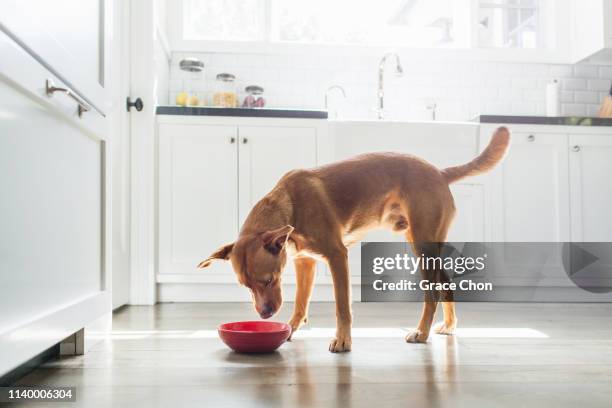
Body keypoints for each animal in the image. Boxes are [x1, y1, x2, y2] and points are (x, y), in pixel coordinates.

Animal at [198, 126, 510, 350]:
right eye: (247, 286)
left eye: (268, 280)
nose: (264, 315)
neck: (290, 204)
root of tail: (440, 173)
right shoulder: (304, 263)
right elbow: (300, 304)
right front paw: (290, 329)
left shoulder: (337, 257)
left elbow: (342, 307)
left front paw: (343, 340)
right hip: (423, 242)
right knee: (446, 282)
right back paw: (449, 325)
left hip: (422, 247)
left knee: (431, 293)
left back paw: (421, 333)